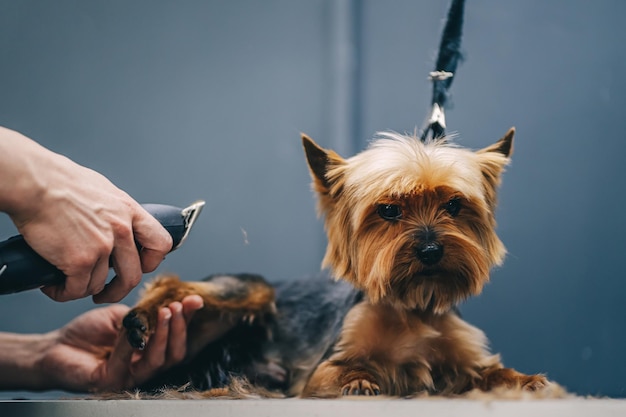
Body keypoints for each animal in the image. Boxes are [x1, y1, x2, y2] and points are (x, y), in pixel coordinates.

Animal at [120, 129, 544, 396]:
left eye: (454, 205)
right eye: (389, 210)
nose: (429, 251)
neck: (414, 305)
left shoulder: (464, 361)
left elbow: (491, 372)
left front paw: (525, 381)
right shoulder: (323, 368)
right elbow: (347, 369)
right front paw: (359, 381)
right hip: (253, 289)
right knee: (173, 283)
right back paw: (142, 318)